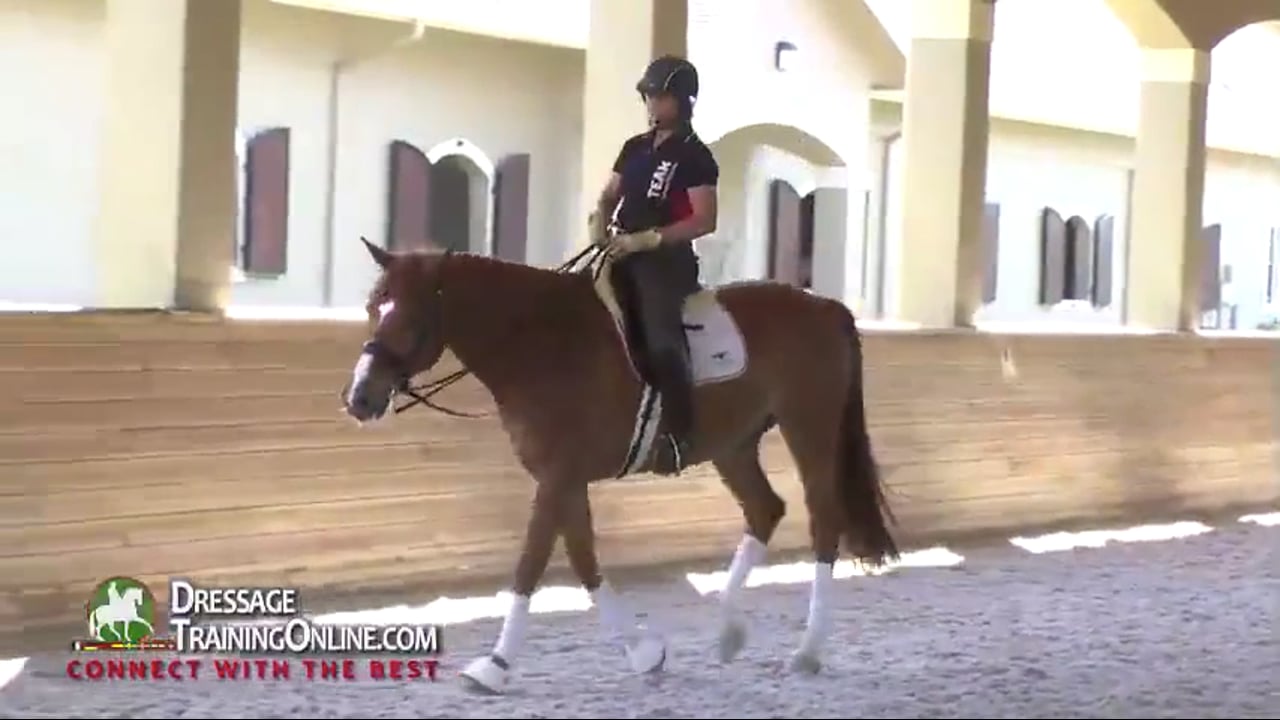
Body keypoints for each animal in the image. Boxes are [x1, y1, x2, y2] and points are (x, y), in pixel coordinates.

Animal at [341, 237, 898, 693]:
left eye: (409, 319)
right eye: (373, 306)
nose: (359, 399)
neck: (539, 341)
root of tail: (825, 306)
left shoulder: (558, 476)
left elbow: (532, 562)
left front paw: (494, 666)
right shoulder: (563, 479)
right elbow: (582, 557)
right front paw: (643, 652)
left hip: (809, 426)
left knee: (824, 520)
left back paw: (806, 651)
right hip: (734, 445)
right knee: (765, 510)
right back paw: (728, 630)